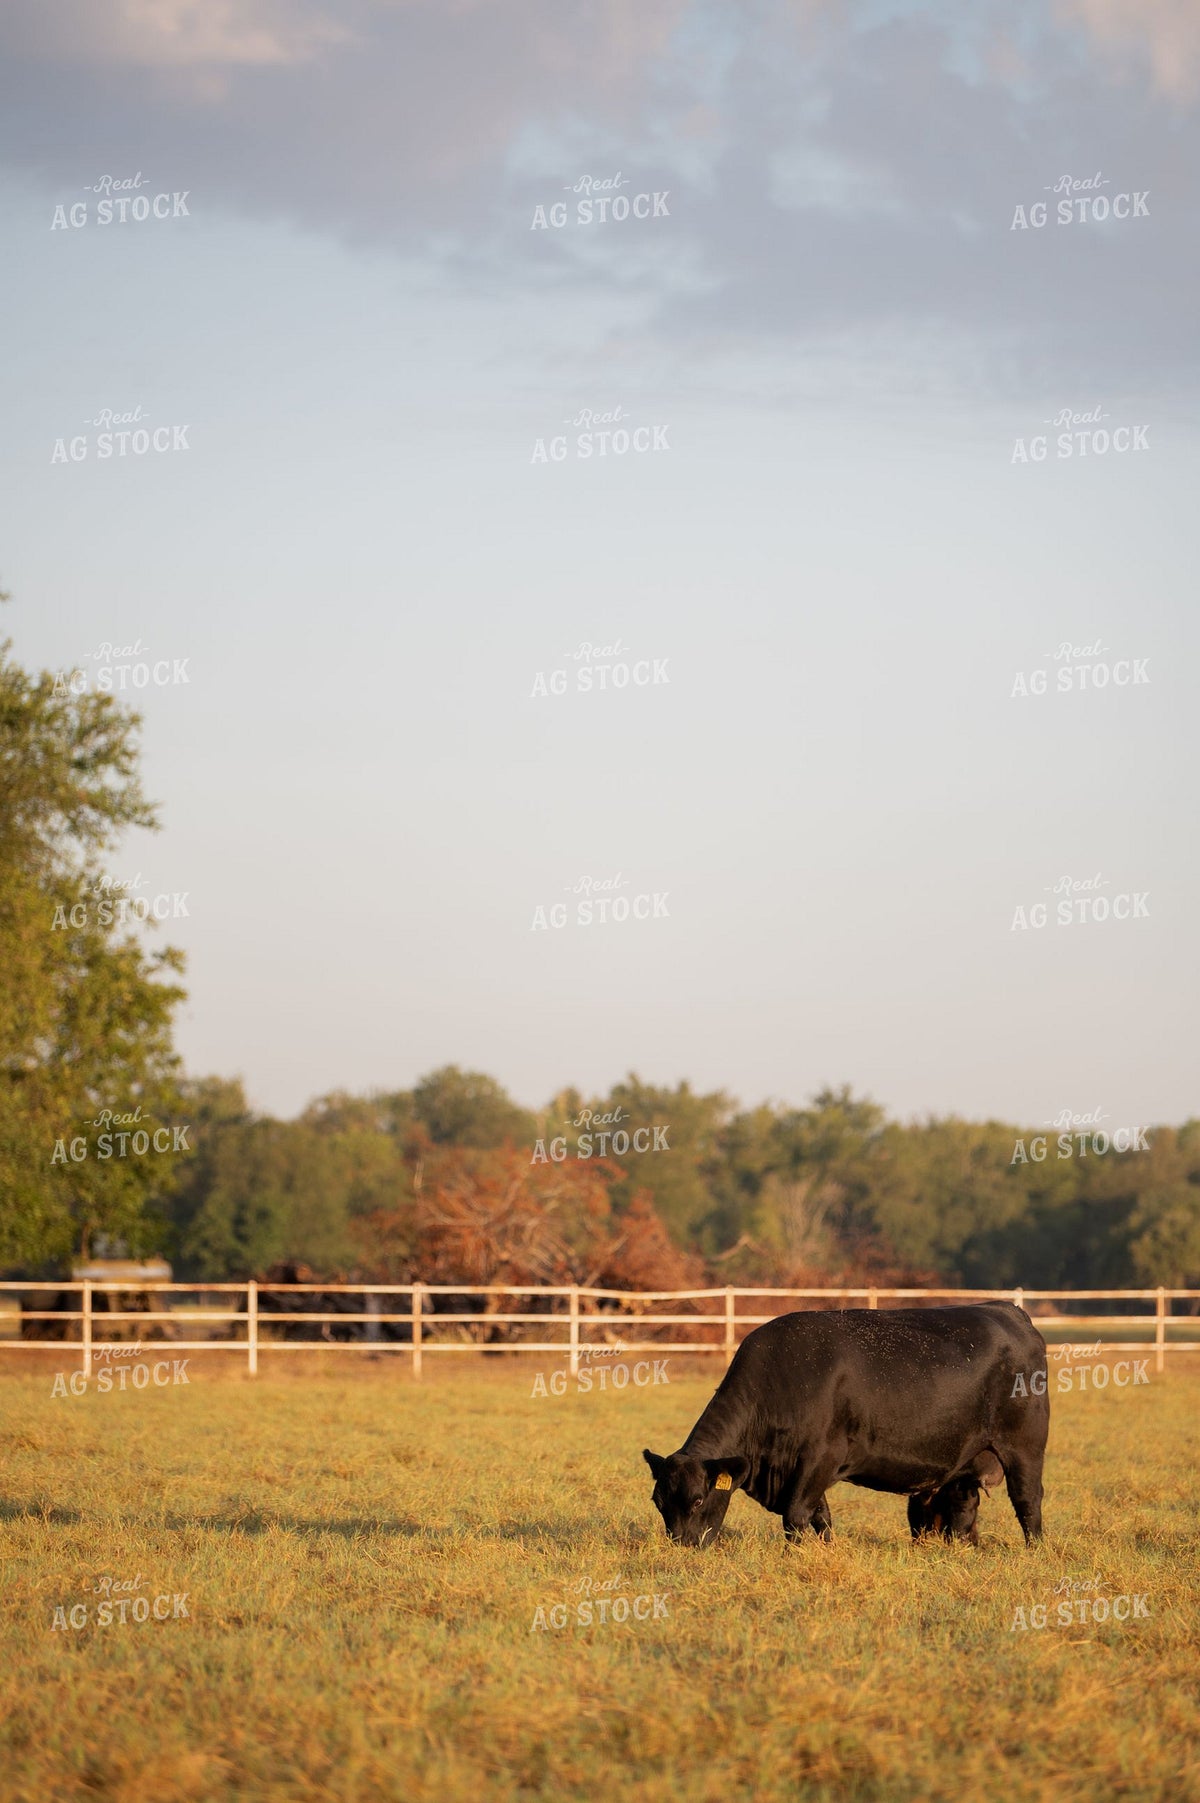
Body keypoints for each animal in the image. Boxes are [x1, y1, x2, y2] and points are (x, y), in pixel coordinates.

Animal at [642, 1303, 1047, 1549]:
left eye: (697, 1499)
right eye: (659, 1502)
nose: (682, 1547)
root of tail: (1006, 1309)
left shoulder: (821, 1458)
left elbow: (796, 1515)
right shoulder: (804, 1470)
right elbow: (820, 1516)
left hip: (1024, 1446)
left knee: (1027, 1499)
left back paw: (1033, 1550)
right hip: (963, 1465)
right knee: (960, 1508)